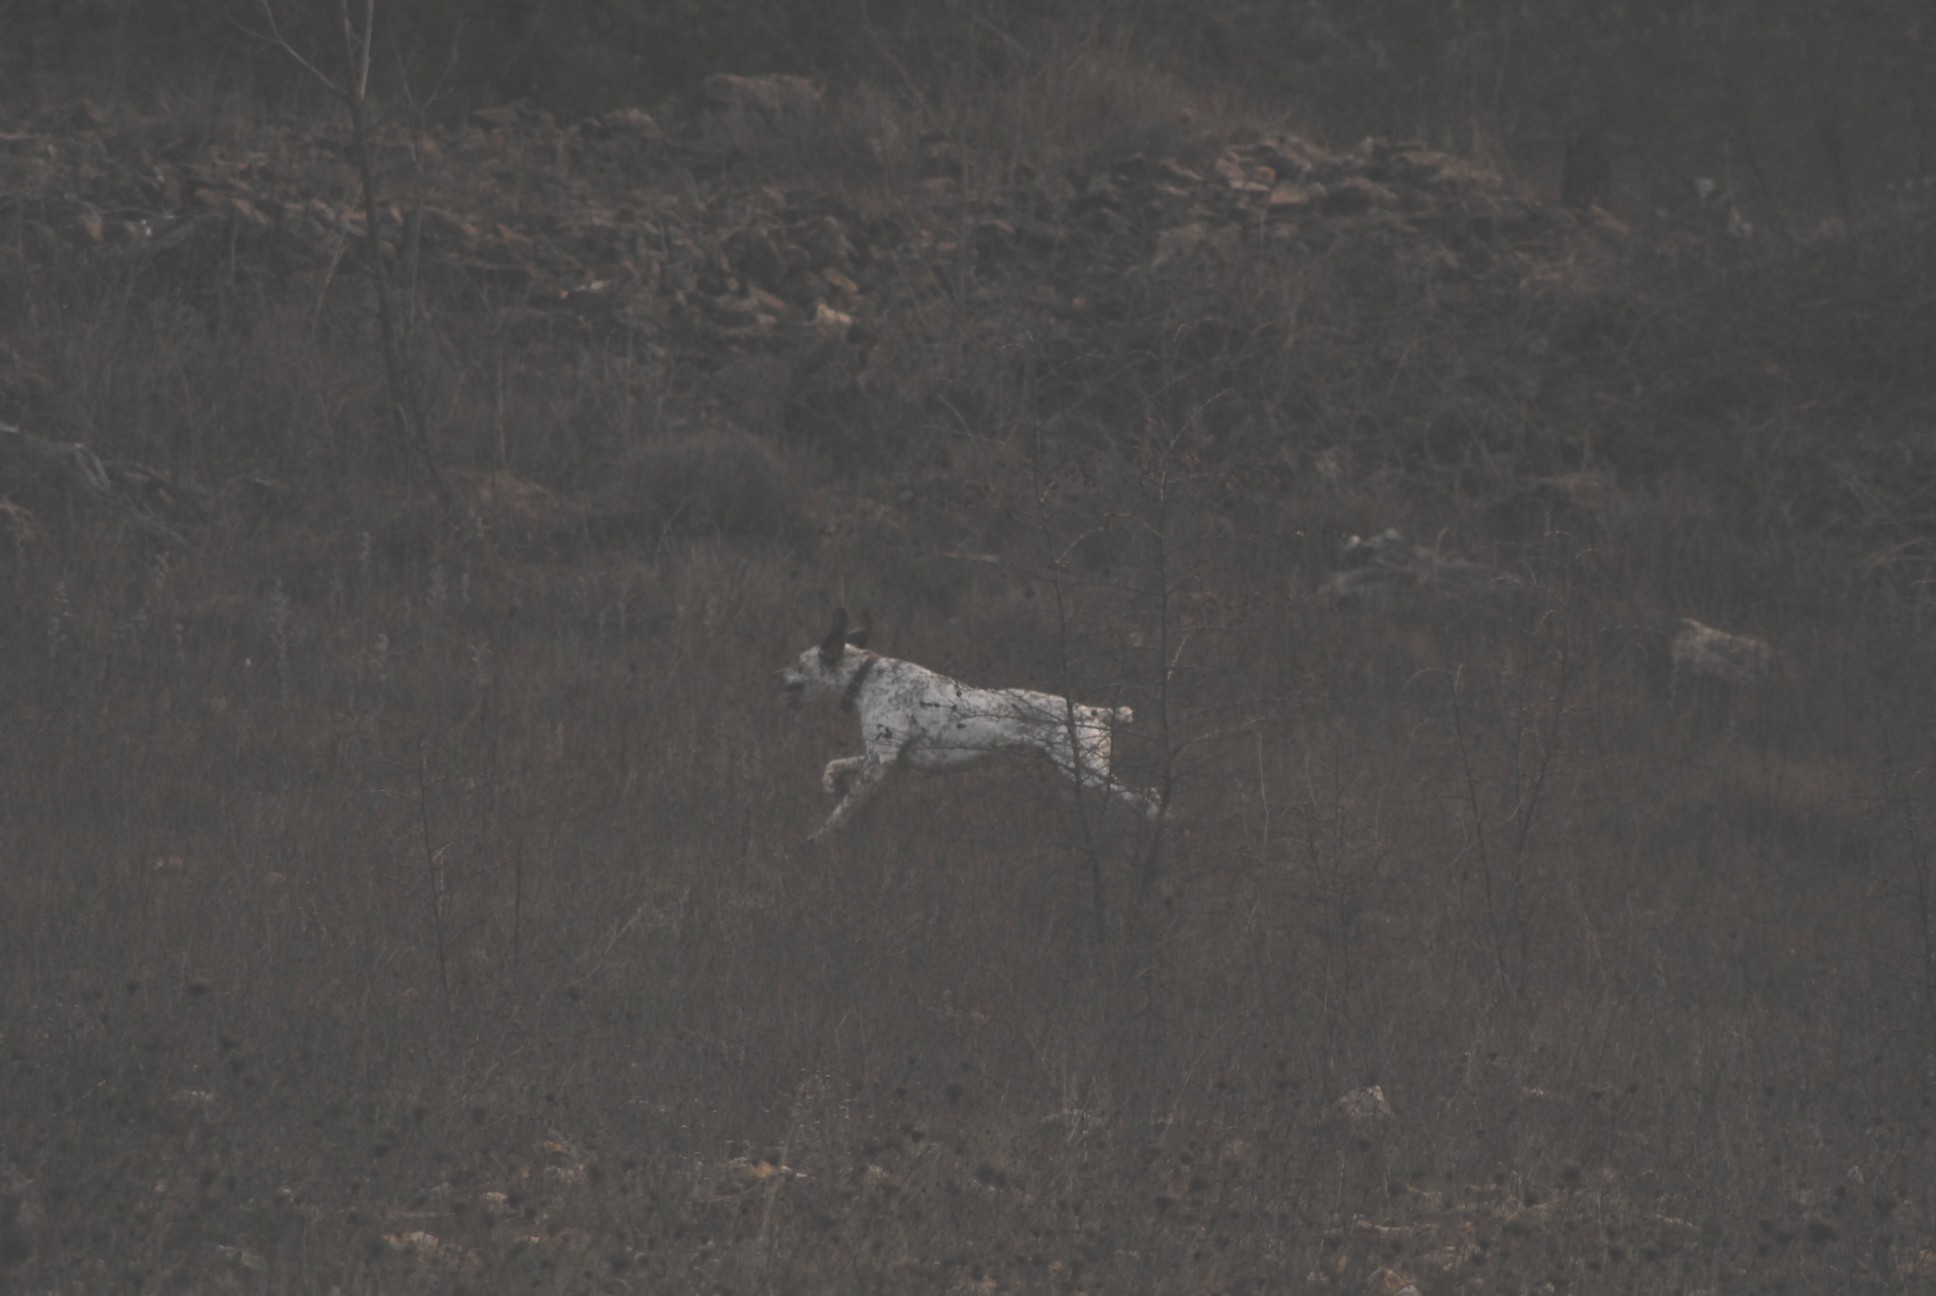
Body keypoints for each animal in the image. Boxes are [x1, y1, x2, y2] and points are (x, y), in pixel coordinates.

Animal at [774, 608, 1161, 840]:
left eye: (797, 662)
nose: (775, 677)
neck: (865, 678)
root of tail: (1093, 711)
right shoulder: (889, 758)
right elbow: (834, 765)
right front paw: (831, 783)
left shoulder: (881, 760)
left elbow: (841, 812)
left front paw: (818, 837)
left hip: (1087, 770)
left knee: (1147, 798)